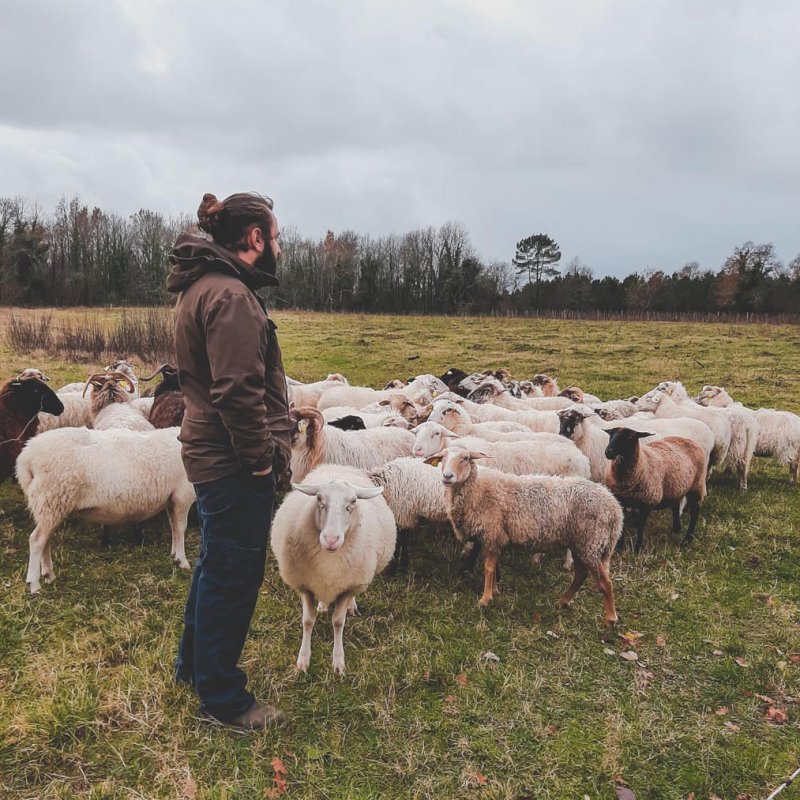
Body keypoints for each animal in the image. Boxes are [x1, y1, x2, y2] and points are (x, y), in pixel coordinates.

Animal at [17, 424, 194, 592]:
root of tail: (27, 456)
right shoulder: (183, 496)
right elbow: (180, 529)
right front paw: (183, 561)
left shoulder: (172, 499)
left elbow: (174, 528)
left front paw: (174, 555)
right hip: (52, 498)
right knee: (36, 540)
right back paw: (34, 584)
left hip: (48, 505)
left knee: (44, 539)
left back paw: (48, 574)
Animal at [270, 462, 396, 676]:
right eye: (319, 499)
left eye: (353, 502)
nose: (330, 539)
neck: (329, 562)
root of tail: (339, 466)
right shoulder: (306, 586)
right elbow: (307, 621)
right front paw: (303, 660)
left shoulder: (347, 587)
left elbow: (338, 622)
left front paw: (338, 661)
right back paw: (322, 605)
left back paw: (351, 606)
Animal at [428, 444, 620, 624]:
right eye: (442, 457)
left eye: (466, 458)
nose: (447, 476)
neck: (478, 490)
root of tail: (614, 508)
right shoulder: (493, 537)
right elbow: (494, 567)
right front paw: (495, 590)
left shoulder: (492, 533)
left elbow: (488, 568)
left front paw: (485, 599)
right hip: (581, 543)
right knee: (581, 574)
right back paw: (564, 601)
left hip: (591, 541)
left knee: (605, 582)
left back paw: (610, 618)